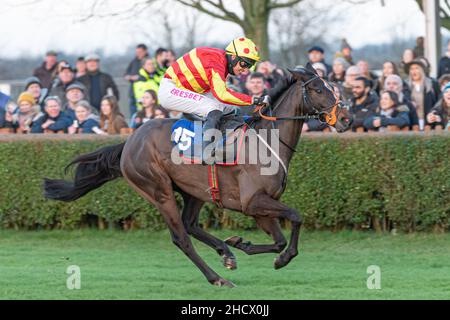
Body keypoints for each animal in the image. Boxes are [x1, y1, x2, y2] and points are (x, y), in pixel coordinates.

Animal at [43, 64, 352, 288]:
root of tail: (130, 141)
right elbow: (296, 218)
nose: (347, 120)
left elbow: (278, 239)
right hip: (158, 190)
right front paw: (280, 258)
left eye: (332, 86)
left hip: (194, 191)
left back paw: (225, 253)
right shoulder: (253, 202)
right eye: (318, 89)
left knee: (190, 224)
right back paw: (218, 277)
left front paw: (240, 244)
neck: (266, 141)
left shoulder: (260, 206)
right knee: (181, 237)